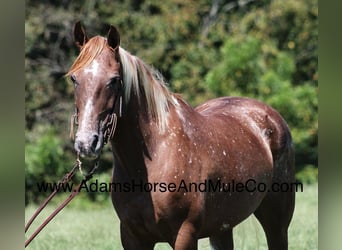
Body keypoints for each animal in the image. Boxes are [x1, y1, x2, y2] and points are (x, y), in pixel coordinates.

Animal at [68, 22, 296, 249]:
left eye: (114, 80)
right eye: (74, 79)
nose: (86, 142)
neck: (154, 157)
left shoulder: (184, 235)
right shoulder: (132, 237)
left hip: (276, 221)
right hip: (222, 227)